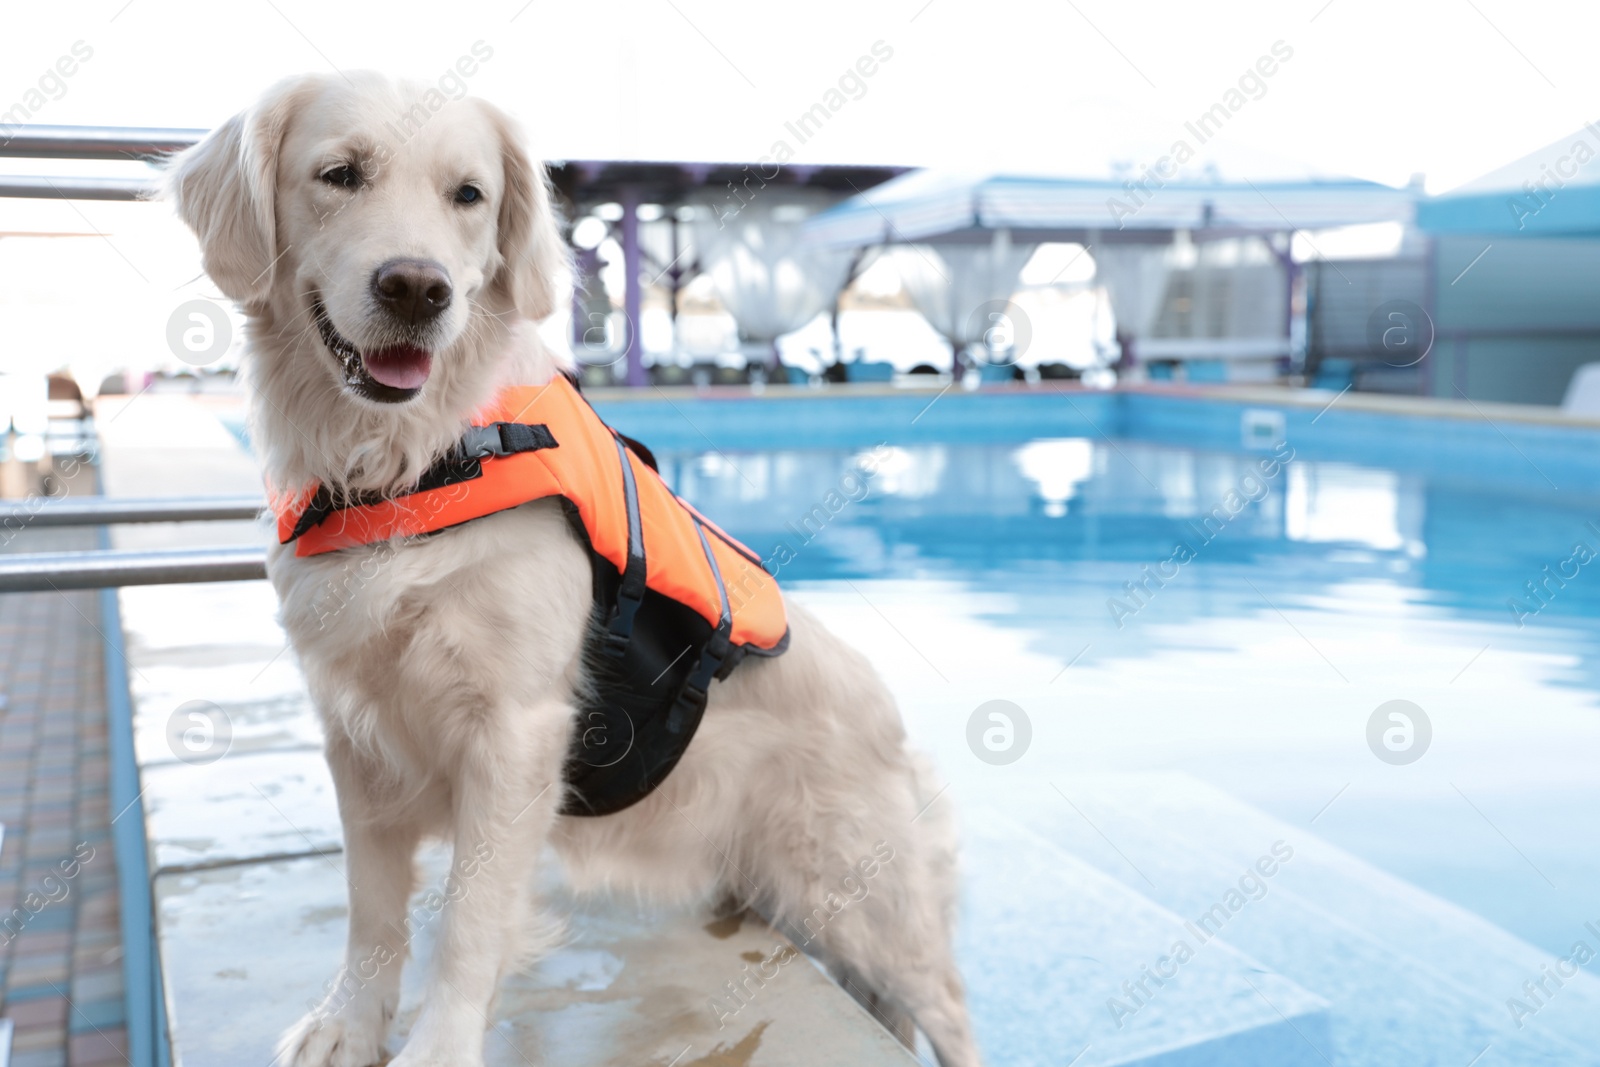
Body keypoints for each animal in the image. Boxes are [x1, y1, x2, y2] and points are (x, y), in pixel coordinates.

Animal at [168, 75, 979, 1067]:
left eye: (468, 195)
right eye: (339, 175)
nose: (417, 288)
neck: (422, 462)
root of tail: (893, 724)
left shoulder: (513, 731)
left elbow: (470, 920)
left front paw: (438, 1046)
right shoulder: (357, 732)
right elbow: (372, 908)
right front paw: (347, 1022)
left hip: (869, 902)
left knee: (949, 1009)